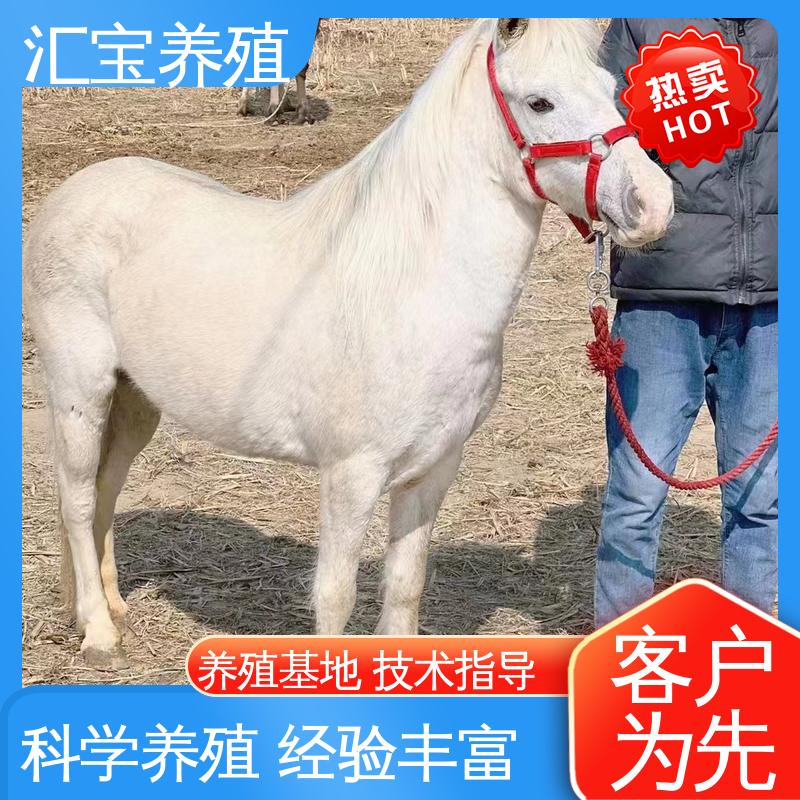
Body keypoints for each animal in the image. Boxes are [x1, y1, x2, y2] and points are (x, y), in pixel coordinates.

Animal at [23, 18, 673, 668]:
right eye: (540, 103)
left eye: (610, 89)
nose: (654, 203)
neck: (410, 290)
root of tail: (71, 194)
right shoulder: (351, 474)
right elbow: (334, 595)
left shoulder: (432, 471)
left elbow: (405, 585)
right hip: (80, 390)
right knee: (77, 498)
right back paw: (98, 633)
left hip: (136, 402)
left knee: (107, 488)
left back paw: (114, 610)